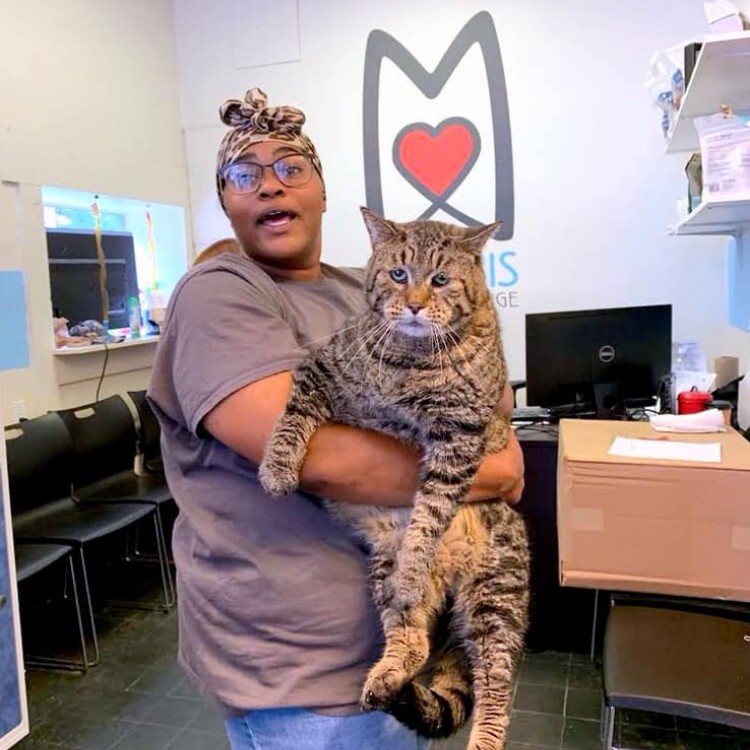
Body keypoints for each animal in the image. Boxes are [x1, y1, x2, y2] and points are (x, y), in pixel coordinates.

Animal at [262, 207, 532, 750]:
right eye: (399, 274)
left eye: (441, 280)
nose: (413, 305)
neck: (412, 361)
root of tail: (450, 575)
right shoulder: (321, 370)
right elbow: (292, 417)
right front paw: (277, 467)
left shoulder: (459, 438)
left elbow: (430, 515)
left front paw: (416, 562)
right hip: (386, 572)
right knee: (412, 639)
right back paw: (387, 678)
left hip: (498, 595)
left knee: (495, 684)